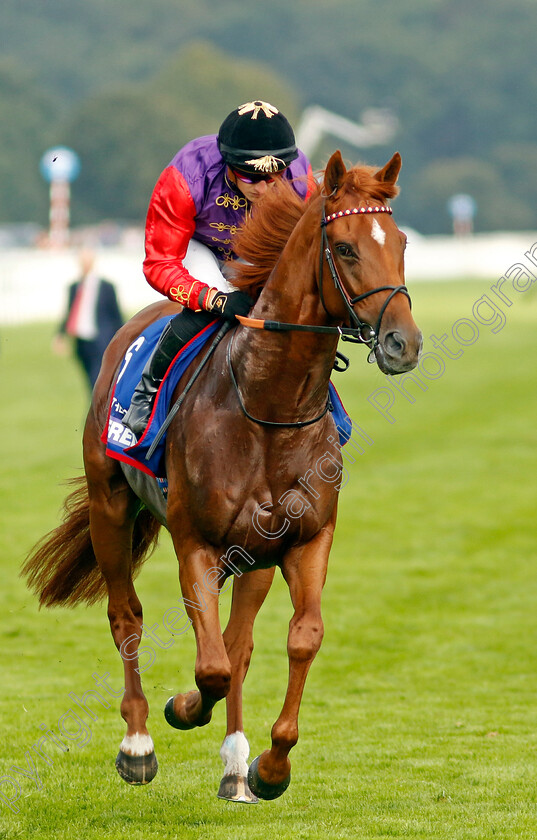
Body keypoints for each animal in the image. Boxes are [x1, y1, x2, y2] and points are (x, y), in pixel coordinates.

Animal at [23, 151, 420, 800]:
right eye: (345, 247)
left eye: (403, 242)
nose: (403, 343)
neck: (269, 406)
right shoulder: (197, 542)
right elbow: (208, 666)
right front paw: (181, 709)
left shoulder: (305, 538)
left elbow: (295, 638)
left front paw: (270, 766)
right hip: (111, 507)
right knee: (127, 617)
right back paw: (138, 742)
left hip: (253, 555)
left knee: (239, 642)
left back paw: (235, 764)